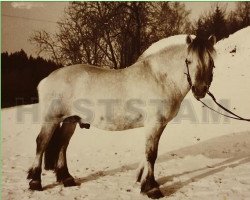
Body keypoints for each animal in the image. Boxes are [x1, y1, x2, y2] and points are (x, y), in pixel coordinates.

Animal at [26, 34, 215, 198]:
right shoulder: (154, 124)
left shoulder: (156, 126)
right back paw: (35, 182)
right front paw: (152, 188)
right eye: (188, 61)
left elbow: (147, 153)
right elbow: (151, 154)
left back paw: (67, 179)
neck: (159, 78)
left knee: (62, 145)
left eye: (211, 63)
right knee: (41, 143)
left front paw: (142, 181)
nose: (200, 90)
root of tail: (46, 79)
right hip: (51, 120)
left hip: (70, 121)